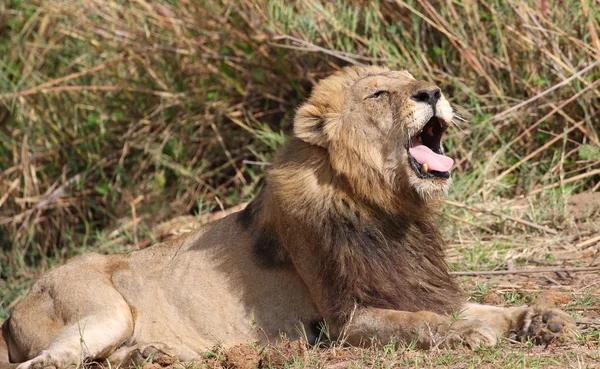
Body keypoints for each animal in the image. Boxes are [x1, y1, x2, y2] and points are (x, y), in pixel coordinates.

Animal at [0, 64, 576, 366]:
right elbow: (421, 323)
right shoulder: (345, 320)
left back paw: (152, 354)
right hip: (100, 309)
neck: (389, 208)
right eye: (380, 93)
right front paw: (465, 336)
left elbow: (476, 307)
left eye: (416, 80)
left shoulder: (412, 285)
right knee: (45, 362)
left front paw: (537, 319)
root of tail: (15, 306)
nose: (432, 92)